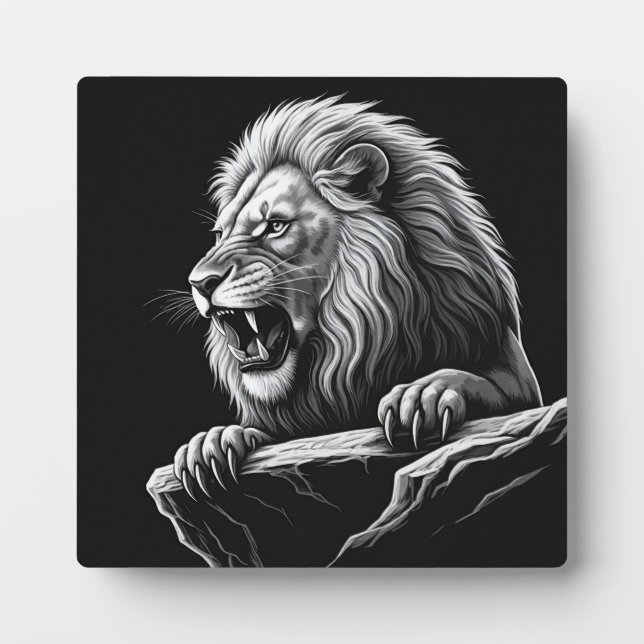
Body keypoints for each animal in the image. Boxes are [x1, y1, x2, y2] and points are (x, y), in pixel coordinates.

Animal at [172, 96, 542, 497]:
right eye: (220, 234)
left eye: (275, 226)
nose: (199, 282)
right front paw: (216, 439)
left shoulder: (518, 378)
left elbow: (489, 387)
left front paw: (424, 394)